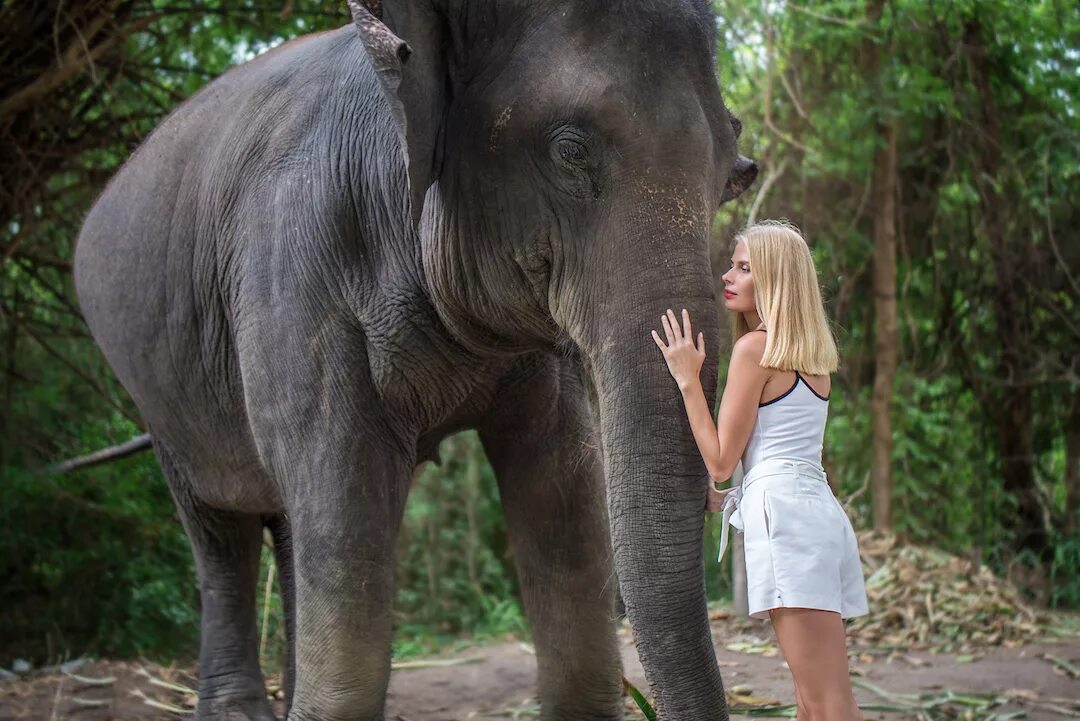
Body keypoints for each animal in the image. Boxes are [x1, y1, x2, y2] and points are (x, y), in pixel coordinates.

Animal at [71, 1, 756, 721]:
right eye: (570, 149)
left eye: (735, 174)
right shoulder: (292, 271)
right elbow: (346, 518)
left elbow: (562, 490)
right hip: (160, 395)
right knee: (221, 527)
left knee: (285, 523)